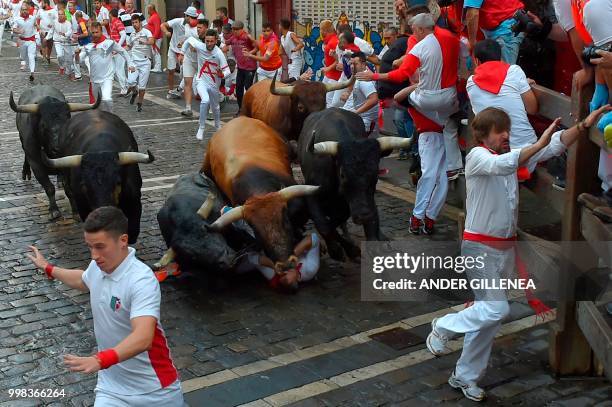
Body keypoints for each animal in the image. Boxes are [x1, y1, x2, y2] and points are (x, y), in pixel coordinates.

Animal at [9, 85, 99, 220]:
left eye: (67, 122)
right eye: (44, 125)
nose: (59, 148)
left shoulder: (68, 162)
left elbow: (69, 189)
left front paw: (76, 211)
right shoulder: (36, 165)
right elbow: (49, 188)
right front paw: (54, 210)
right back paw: (26, 172)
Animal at [41, 110, 154, 244]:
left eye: (118, 182)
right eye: (84, 185)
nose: (102, 213)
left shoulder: (135, 201)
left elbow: (131, 233)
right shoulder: (83, 207)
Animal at [296, 108, 412, 262]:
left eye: (375, 173)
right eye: (343, 174)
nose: (363, 215)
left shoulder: (353, 203)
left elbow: (336, 221)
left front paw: (354, 248)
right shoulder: (311, 193)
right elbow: (324, 225)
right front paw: (337, 250)